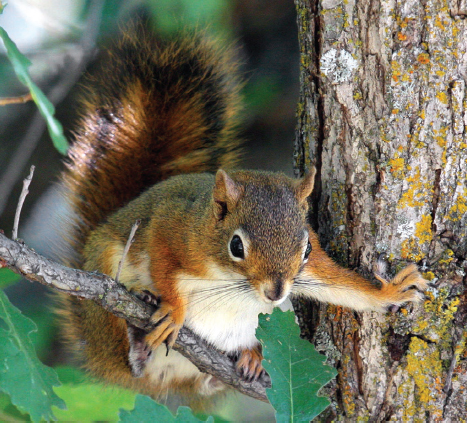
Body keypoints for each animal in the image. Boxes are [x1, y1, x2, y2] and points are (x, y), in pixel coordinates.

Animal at [57, 24, 428, 408]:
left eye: (307, 249)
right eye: (236, 246)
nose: (275, 292)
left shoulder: (310, 270)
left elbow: (344, 287)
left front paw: (392, 292)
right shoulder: (175, 228)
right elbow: (162, 256)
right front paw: (173, 308)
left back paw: (251, 357)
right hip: (103, 282)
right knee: (122, 352)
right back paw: (135, 334)